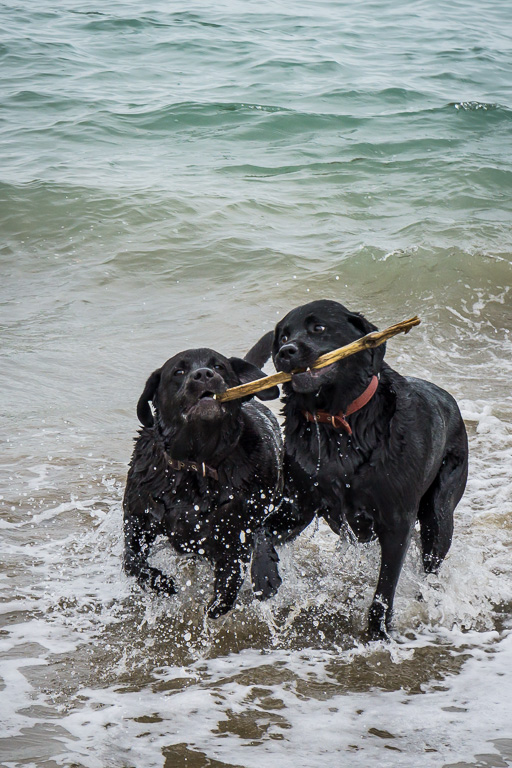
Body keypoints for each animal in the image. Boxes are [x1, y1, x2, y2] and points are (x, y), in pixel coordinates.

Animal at [124, 348, 284, 616]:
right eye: (178, 371)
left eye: (219, 367)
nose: (203, 374)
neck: (196, 463)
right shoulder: (136, 518)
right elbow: (131, 561)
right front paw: (162, 583)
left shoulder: (233, 534)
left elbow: (231, 577)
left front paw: (217, 603)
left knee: (264, 532)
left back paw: (265, 574)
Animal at [256, 298, 468, 636]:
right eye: (283, 336)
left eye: (318, 327)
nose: (285, 352)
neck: (336, 422)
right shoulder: (298, 507)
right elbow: (261, 533)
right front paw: (264, 577)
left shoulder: (396, 521)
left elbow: (385, 587)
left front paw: (377, 632)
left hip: (439, 512)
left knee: (432, 558)